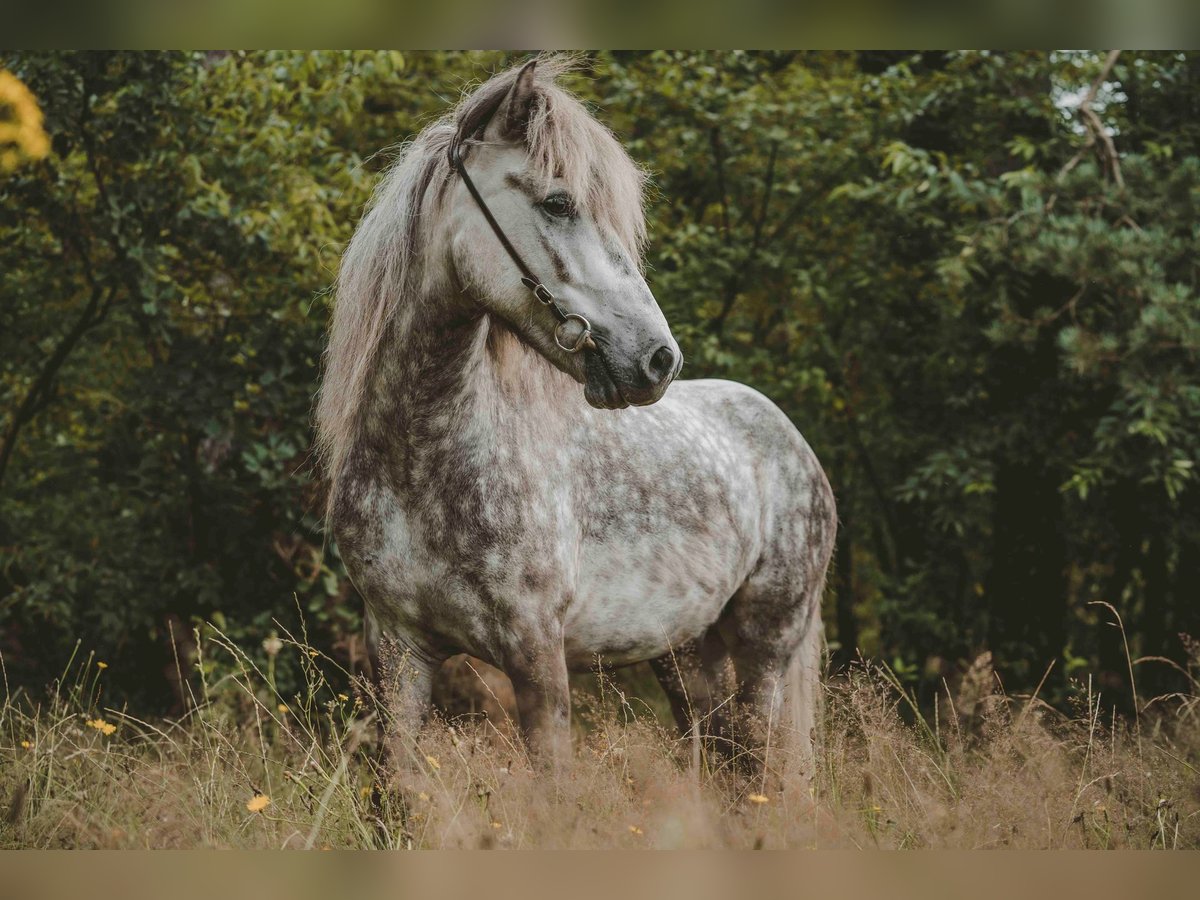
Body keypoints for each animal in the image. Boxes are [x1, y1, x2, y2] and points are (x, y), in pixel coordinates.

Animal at [316, 56, 835, 772]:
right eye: (558, 203)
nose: (658, 360)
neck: (421, 466)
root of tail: (791, 441)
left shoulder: (537, 654)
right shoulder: (398, 655)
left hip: (767, 649)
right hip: (687, 656)